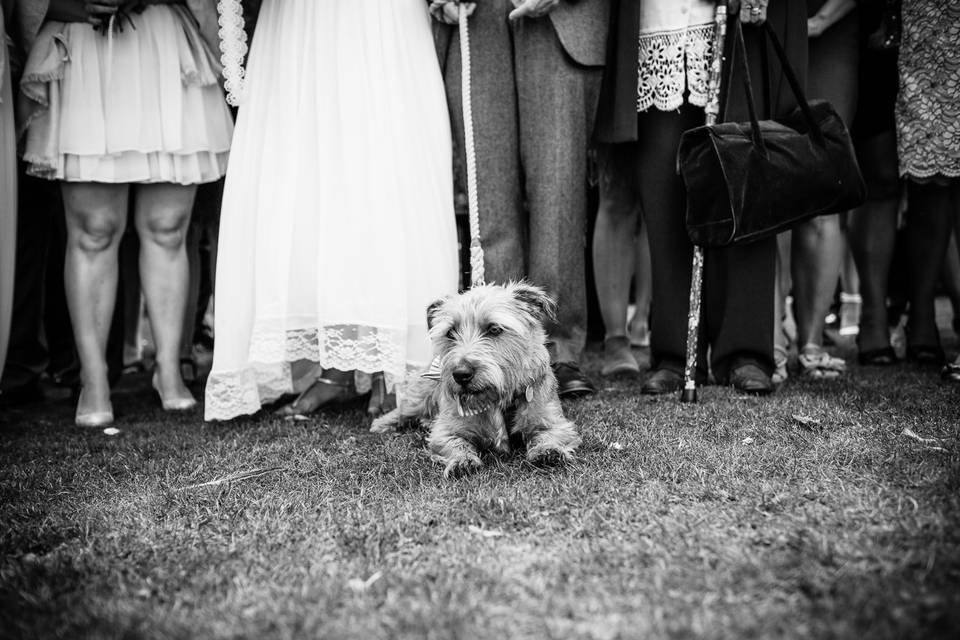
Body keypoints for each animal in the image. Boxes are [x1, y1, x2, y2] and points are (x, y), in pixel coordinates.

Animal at [372, 282, 580, 478]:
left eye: (494, 329)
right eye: (450, 332)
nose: (460, 374)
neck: (499, 399)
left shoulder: (553, 421)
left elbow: (548, 435)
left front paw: (548, 451)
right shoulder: (445, 432)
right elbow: (456, 443)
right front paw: (461, 461)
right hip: (419, 397)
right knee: (402, 410)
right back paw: (382, 424)